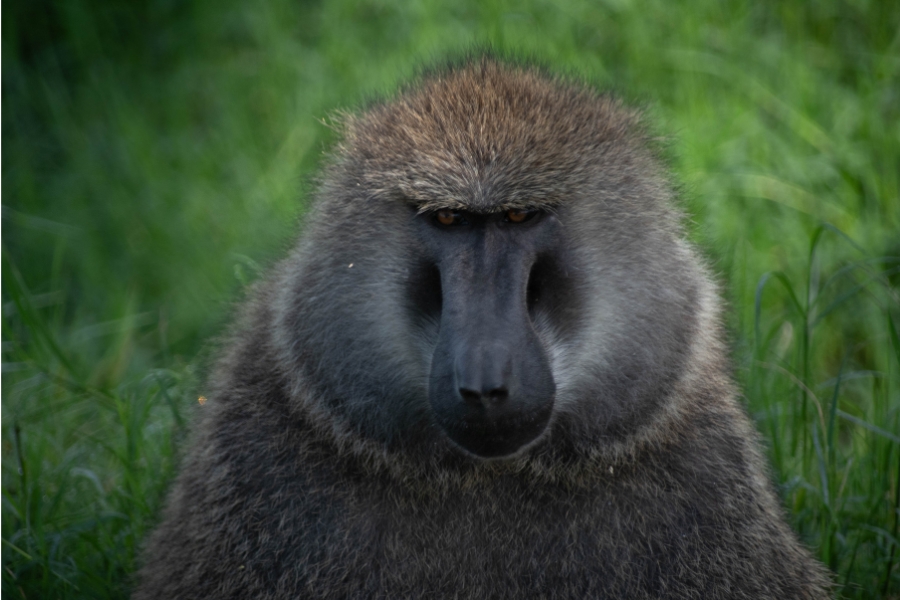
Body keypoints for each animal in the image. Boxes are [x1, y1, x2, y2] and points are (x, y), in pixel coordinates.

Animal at [133, 56, 832, 599]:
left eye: (519, 215)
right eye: (447, 219)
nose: (485, 384)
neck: (485, 476)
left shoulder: (699, 480)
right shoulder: (254, 464)